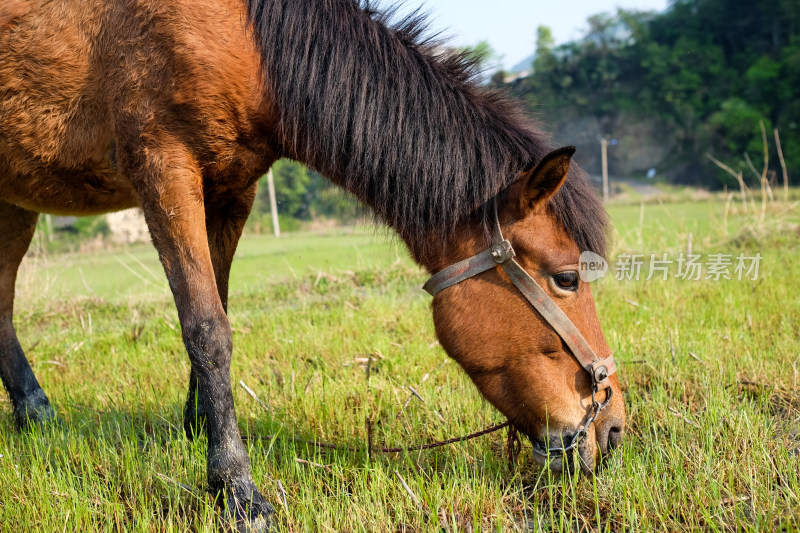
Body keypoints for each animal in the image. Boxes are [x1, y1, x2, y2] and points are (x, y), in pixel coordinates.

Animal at [0, 1, 624, 528]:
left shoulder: (231, 191)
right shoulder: (163, 168)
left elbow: (216, 309)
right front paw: (235, 488)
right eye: (567, 279)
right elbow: (206, 328)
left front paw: (201, 432)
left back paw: (36, 416)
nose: (613, 428)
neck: (246, 38)